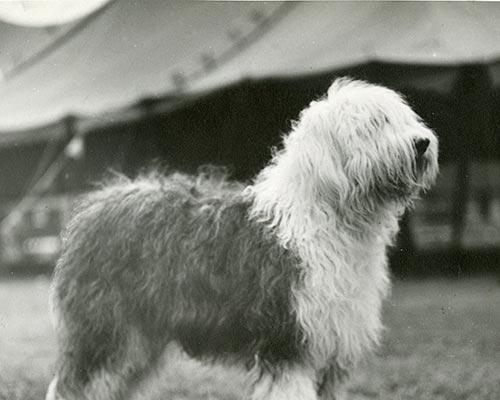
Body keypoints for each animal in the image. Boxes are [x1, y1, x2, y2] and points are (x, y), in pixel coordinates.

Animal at [47, 79, 438, 400]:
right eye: (374, 124)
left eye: (403, 119)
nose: (422, 143)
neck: (326, 215)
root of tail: (94, 205)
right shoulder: (288, 342)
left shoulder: (329, 346)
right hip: (106, 330)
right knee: (72, 386)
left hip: (139, 339)